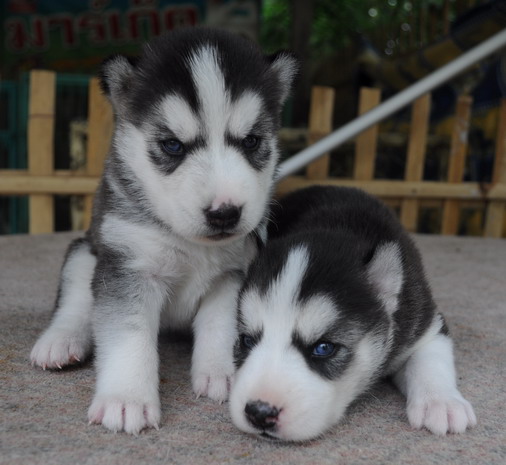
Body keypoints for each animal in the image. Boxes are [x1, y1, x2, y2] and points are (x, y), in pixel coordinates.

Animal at [30, 27, 297, 435]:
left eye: (251, 141)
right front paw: (126, 399)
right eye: (172, 145)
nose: (225, 213)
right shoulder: (129, 266)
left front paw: (220, 372)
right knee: (75, 298)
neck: (190, 242)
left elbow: (219, 323)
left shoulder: (233, 273)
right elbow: (127, 335)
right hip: (85, 250)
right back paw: (61, 340)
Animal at [229, 186, 477, 441]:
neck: (333, 226)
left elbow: (429, 359)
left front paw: (441, 402)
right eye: (247, 340)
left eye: (324, 348)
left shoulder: (425, 323)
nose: (259, 412)